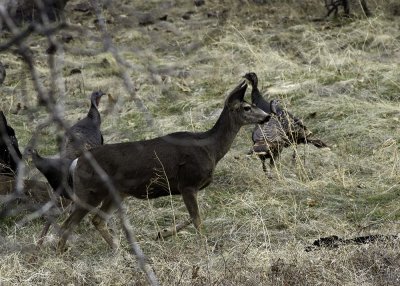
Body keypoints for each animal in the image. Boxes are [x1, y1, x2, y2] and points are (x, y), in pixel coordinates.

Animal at [57, 80, 272, 250]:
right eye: (246, 107)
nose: (267, 116)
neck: (209, 148)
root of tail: (77, 162)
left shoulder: (186, 188)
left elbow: (195, 216)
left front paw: (163, 233)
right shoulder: (187, 183)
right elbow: (197, 219)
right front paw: (205, 245)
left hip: (116, 192)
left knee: (97, 220)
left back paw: (119, 250)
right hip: (90, 191)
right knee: (67, 224)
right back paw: (61, 253)